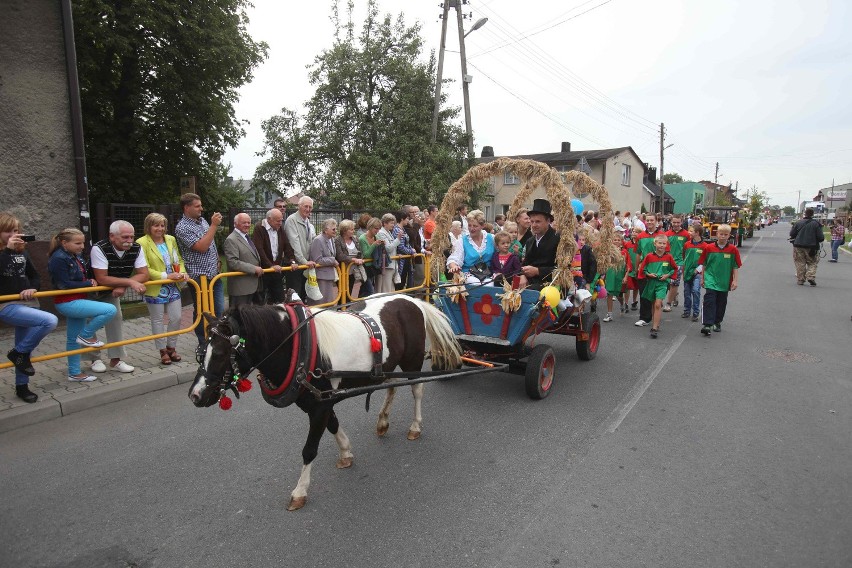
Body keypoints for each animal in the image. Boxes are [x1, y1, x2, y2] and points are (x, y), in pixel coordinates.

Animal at [191, 296, 462, 512]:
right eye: (200, 352)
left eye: (221, 354)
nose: (196, 395)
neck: (299, 346)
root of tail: (413, 300)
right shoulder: (319, 401)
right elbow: (333, 425)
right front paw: (346, 452)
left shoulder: (319, 405)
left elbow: (309, 449)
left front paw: (300, 492)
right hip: (387, 366)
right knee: (392, 386)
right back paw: (383, 420)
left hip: (412, 360)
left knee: (417, 390)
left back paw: (415, 426)